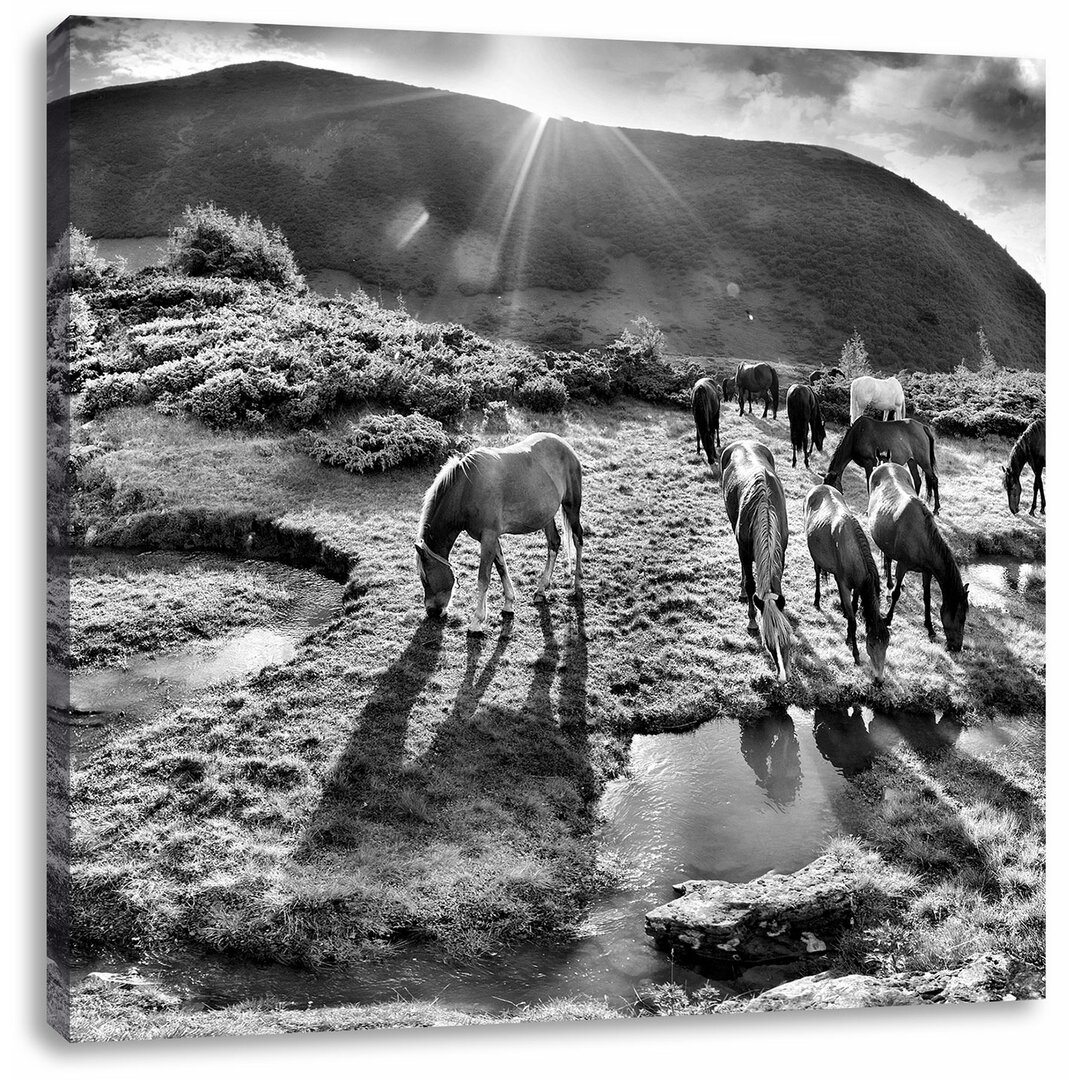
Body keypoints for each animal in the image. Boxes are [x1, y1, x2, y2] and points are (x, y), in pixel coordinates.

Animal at [414, 432, 587, 630]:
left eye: (425, 578)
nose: (432, 612)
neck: (466, 489)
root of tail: (565, 446)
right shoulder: (490, 537)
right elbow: (501, 567)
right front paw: (509, 603)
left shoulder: (488, 536)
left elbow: (483, 578)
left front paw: (477, 621)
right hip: (546, 516)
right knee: (554, 543)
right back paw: (541, 590)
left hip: (571, 507)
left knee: (578, 538)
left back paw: (577, 585)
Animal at [721, 440, 799, 682]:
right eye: (769, 645)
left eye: (788, 642)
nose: (783, 677)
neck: (764, 507)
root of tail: (743, 442)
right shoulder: (745, 552)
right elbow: (750, 583)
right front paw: (752, 620)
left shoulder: (781, 552)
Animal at [807, 483, 889, 673]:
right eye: (871, 644)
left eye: (887, 645)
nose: (879, 678)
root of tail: (821, 485)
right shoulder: (844, 584)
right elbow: (853, 621)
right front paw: (855, 652)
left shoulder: (859, 584)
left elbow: (854, 605)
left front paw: (848, 636)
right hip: (816, 557)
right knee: (817, 571)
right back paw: (817, 600)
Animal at [868, 462, 972, 652]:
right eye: (960, 617)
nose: (956, 647)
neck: (921, 538)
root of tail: (886, 463)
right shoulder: (902, 565)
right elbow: (896, 594)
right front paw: (888, 619)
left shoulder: (927, 571)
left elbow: (927, 598)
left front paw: (930, 628)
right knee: (888, 559)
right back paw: (889, 584)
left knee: (888, 555)